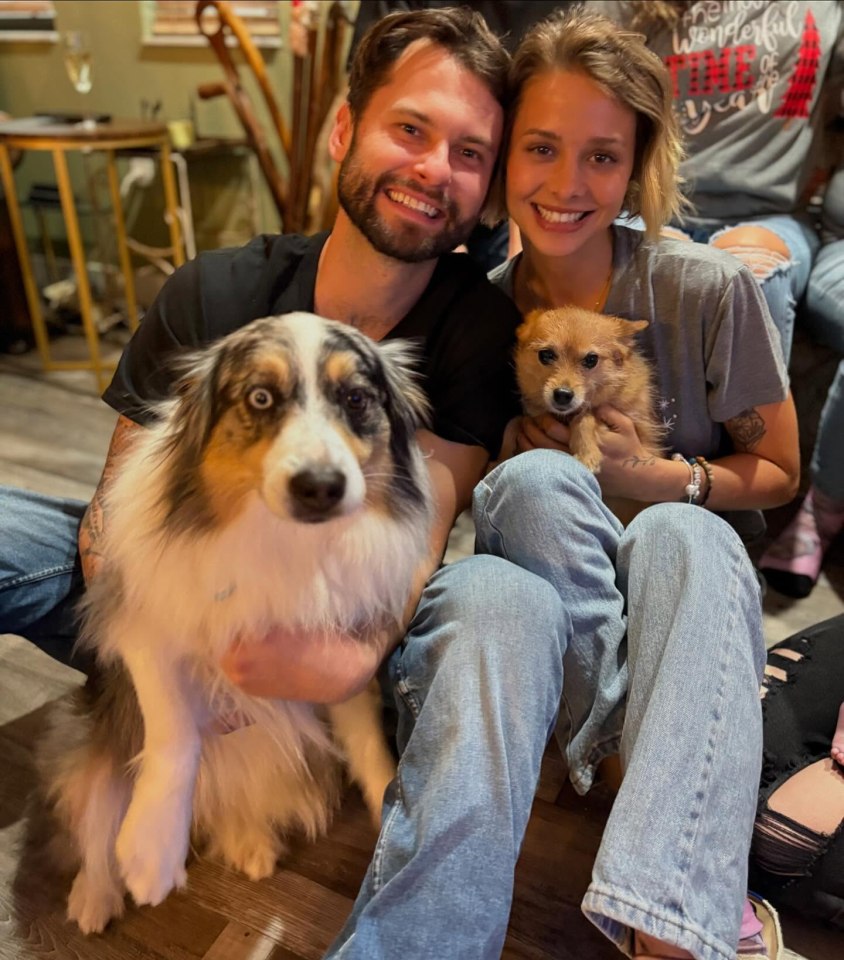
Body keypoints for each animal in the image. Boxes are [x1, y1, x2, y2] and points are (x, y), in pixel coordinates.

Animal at [512, 306, 664, 474]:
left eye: (591, 359)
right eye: (546, 355)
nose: (562, 394)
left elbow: (586, 416)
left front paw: (587, 452)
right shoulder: (536, 414)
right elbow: (543, 415)